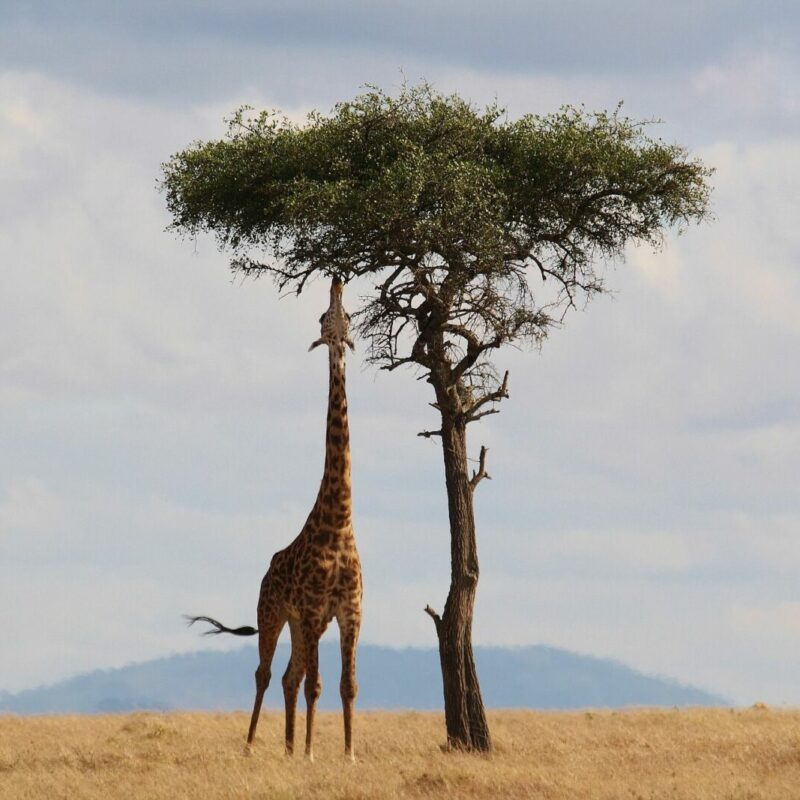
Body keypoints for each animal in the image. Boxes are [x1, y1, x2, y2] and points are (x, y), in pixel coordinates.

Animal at [188, 278, 362, 760]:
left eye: (347, 317)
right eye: (324, 318)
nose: (337, 281)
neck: (339, 521)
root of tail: (266, 570)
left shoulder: (349, 611)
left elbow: (347, 685)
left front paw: (347, 754)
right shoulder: (314, 609)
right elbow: (318, 685)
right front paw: (311, 753)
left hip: (301, 624)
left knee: (289, 676)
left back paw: (286, 748)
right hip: (273, 613)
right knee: (267, 674)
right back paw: (253, 746)